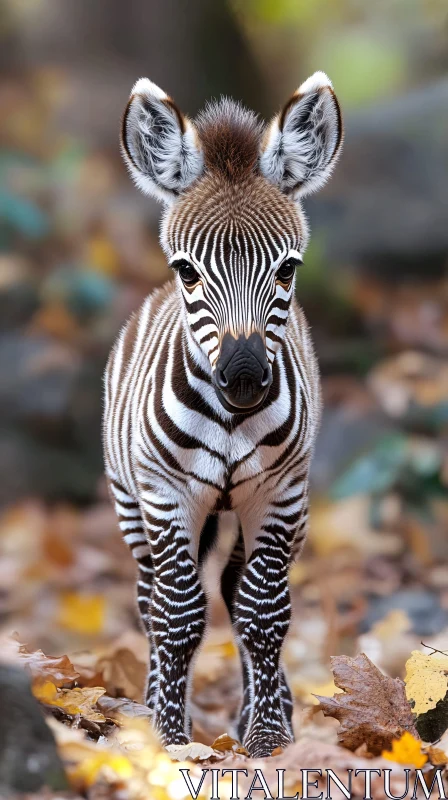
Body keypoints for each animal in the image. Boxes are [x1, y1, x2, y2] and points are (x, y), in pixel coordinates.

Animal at [104, 73, 344, 756]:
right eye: (187, 270)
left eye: (288, 268)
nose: (242, 381)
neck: (234, 421)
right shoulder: (165, 494)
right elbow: (179, 614)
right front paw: (168, 738)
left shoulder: (281, 493)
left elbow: (264, 612)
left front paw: (267, 737)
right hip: (132, 503)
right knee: (150, 599)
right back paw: (152, 707)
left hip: (273, 511)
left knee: (241, 593)